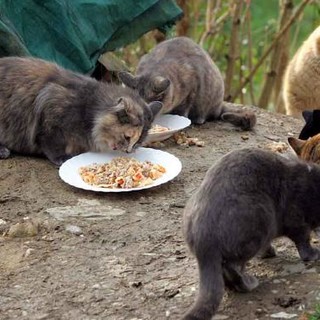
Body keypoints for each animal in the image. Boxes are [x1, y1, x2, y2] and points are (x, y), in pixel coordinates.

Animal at [0, 56, 161, 165]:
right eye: (127, 137)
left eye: (138, 142)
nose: (128, 151)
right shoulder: (49, 112)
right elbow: (51, 143)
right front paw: (62, 158)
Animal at [182, 148, 320, 320]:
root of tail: (203, 240)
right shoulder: (296, 218)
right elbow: (303, 240)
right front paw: (313, 254)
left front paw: (268, 253)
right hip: (261, 218)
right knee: (231, 266)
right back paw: (248, 284)